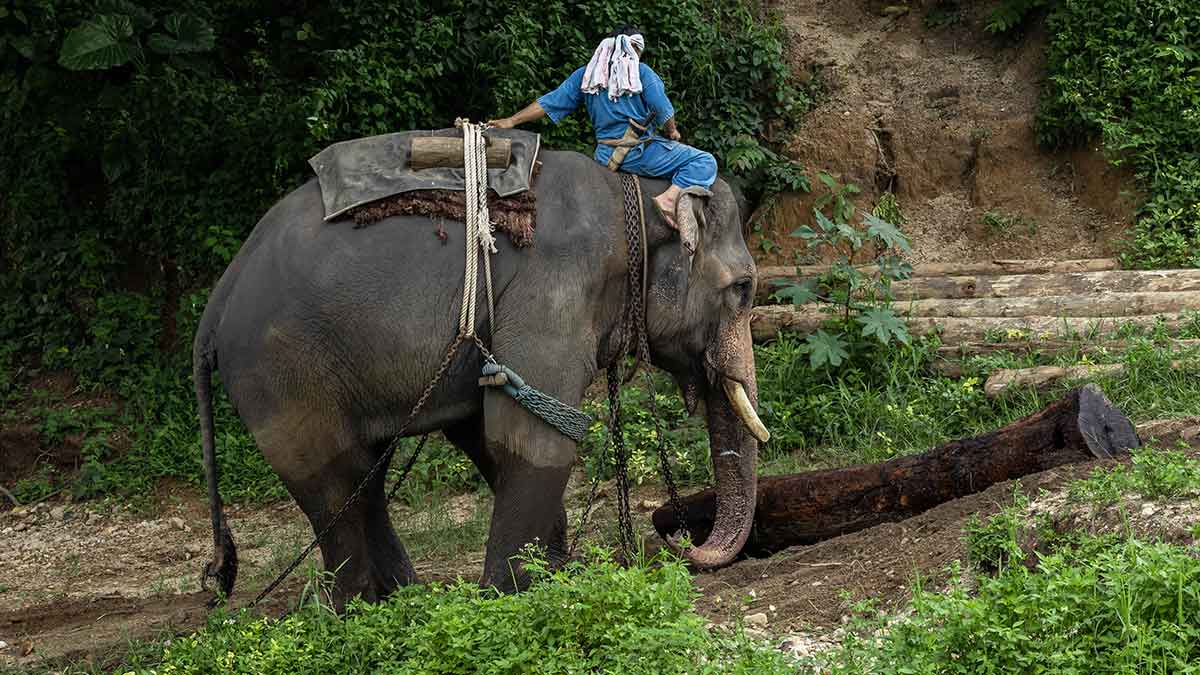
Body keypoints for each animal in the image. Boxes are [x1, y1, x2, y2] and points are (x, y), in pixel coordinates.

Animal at [192, 149, 763, 600]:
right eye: (744, 289)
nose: (682, 542)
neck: (633, 193)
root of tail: (215, 305)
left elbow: (481, 428)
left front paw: (556, 573)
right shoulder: (553, 287)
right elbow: (531, 433)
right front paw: (513, 594)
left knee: (365, 474)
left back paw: (405, 599)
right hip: (281, 377)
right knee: (332, 485)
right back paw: (356, 610)